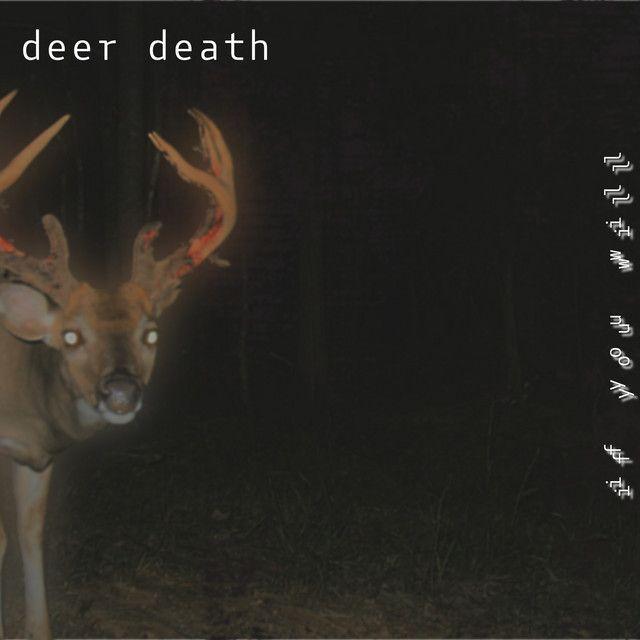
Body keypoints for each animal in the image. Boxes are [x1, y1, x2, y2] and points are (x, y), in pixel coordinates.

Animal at [0, 90, 236, 639]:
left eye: (151, 333)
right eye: (70, 336)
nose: (122, 392)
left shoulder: (34, 456)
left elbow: (29, 532)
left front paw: (37, 627)